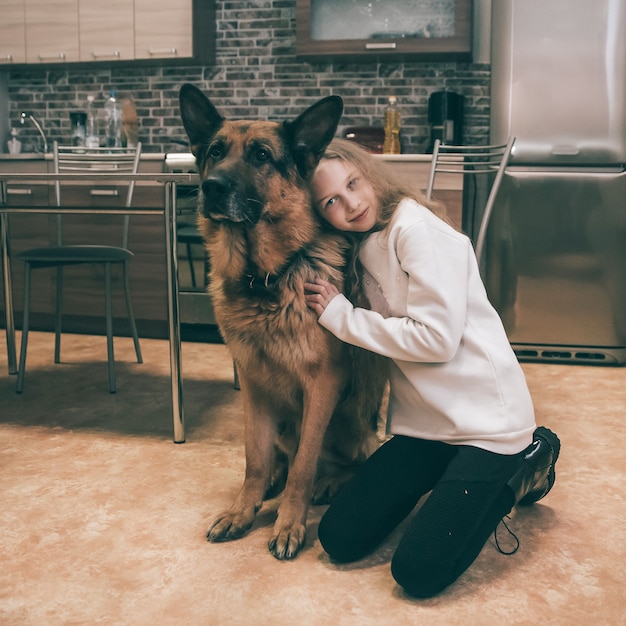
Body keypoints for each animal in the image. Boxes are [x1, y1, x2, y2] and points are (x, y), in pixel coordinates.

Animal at [177, 83, 386, 556]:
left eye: (261, 156)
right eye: (215, 151)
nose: (210, 187)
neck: (263, 279)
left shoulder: (322, 384)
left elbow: (305, 465)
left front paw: (290, 523)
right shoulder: (254, 384)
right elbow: (254, 458)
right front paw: (243, 510)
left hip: (350, 416)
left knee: (352, 459)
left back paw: (329, 484)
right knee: (280, 455)